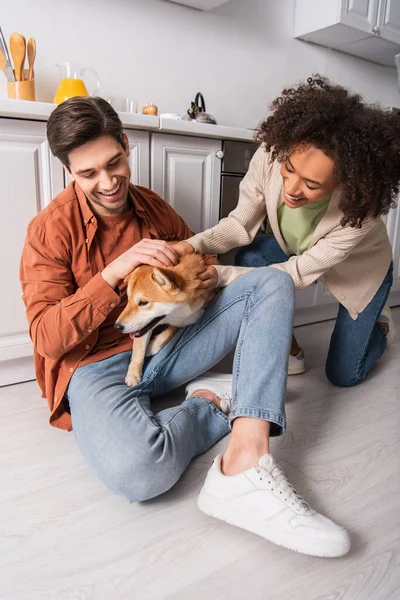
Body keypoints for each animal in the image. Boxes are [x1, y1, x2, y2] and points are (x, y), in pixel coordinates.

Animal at [114, 252, 209, 384]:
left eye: (143, 303)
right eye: (128, 300)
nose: (117, 327)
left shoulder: (192, 316)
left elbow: (170, 331)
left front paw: (152, 346)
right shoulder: (143, 329)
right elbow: (138, 351)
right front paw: (133, 374)